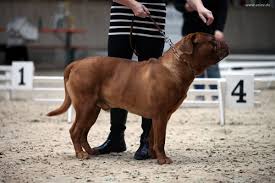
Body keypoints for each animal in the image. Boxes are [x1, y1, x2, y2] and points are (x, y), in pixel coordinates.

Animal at [48, 32, 230, 164]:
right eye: (213, 41)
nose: (226, 43)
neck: (178, 66)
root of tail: (76, 63)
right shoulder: (161, 115)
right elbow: (161, 139)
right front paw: (163, 159)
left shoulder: (160, 116)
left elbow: (153, 137)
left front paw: (154, 155)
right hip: (85, 106)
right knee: (75, 131)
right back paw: (80, 154)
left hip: (93, 110)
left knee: (83, 132)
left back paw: (91, 151)